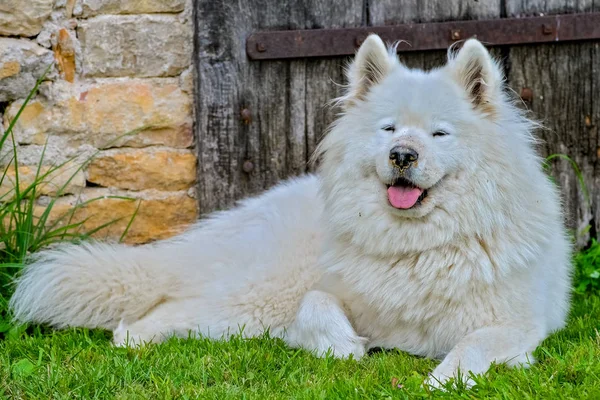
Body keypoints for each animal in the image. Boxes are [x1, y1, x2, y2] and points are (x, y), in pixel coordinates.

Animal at [9, 35, 572, 388]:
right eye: (389, 129)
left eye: (439, 133)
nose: (402, 156)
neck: (417, 248)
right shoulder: (315, 302)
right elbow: (317, 306)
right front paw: (344, 346)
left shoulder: (518, 325)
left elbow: (472, 346)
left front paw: (441, 379)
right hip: (256, 299)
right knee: (154, 315)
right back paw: (135, 341)